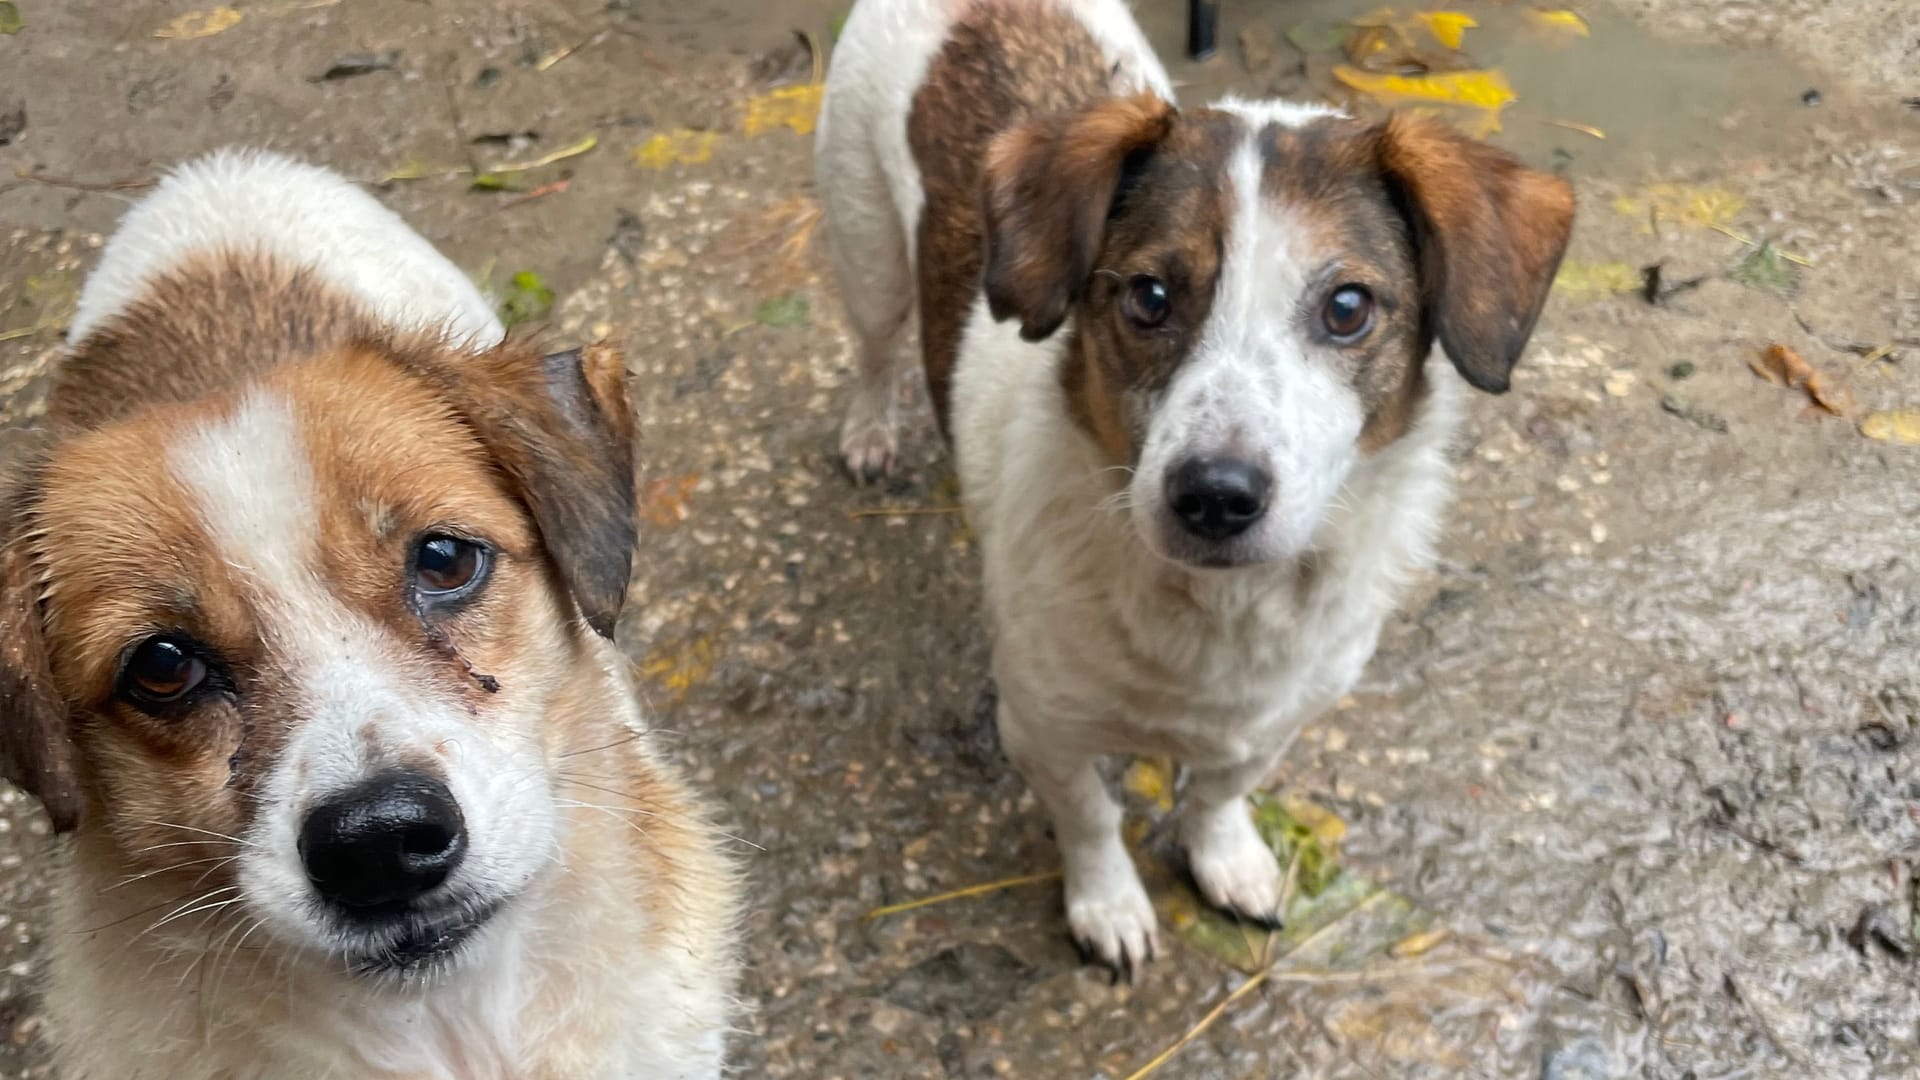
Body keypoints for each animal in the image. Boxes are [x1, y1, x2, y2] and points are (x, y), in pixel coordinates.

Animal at [814, 0, 1574, 976]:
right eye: (1148, 295)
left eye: (1348, 308)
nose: (1215, 495)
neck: (1223, 617)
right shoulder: (1041, 728)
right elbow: (1091, 819)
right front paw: (1107, 904)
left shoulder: (1280, 717)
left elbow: (1219, 792)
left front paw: (1228, 859)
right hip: (866, 251)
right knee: (875, 350)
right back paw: (869, 430)